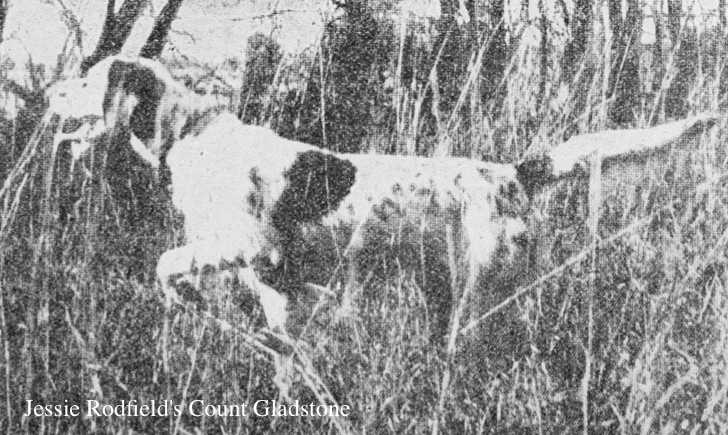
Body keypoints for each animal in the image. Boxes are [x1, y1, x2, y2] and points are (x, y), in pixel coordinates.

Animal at [47, 54, 724, 334]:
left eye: (85, 81)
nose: (50, 93)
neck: (191, 135)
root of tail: (511, 173)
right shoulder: (277, 278)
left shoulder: (249, 244)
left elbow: (166, 265)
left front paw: (179, 300)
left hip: (477, 286)